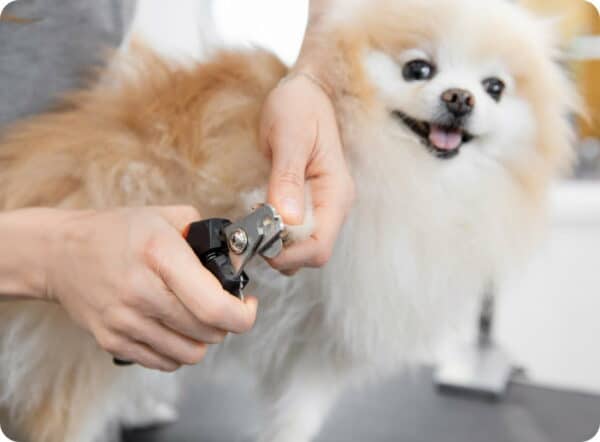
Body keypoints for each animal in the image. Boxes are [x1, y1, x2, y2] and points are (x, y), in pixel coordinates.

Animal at [0, 0, 576, 442]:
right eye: (418, 69)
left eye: (495, 87)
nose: (460, 98)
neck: (410, 178)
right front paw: (298, 221)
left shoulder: (322, 347)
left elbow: (297, 415)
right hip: (76, 345)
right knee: (62, 411)